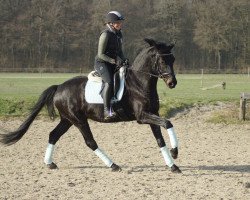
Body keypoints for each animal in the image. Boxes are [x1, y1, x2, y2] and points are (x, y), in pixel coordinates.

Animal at [0, 38, 183, 173]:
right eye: (161, 59)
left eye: (173, 59)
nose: (172, 83)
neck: (139, 83)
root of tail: (59, 87)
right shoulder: (142, 116)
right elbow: (168, 123)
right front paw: (175, 152)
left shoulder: (152, 114)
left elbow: (160, 139)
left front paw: (173, 165)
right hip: (79, 120)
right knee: (90, 142)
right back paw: (113, 165)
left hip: (67, 119)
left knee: (53, 135)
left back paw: (50, 163)